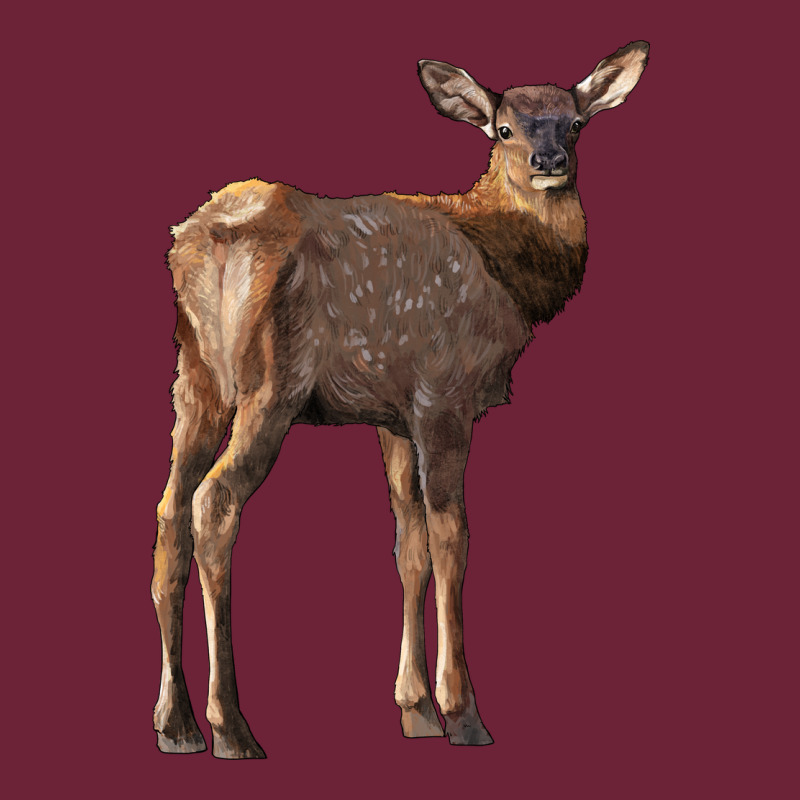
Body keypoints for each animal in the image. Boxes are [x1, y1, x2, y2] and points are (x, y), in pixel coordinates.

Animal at [152, 41, 649, 759]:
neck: (505, 269)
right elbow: (451, 537)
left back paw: (177, 724)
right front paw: (463, 714)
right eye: (503, 129)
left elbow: (407, 543)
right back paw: (232, 727)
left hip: (195, 375)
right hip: (270, 381)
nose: (549, 162)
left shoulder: (390, 412)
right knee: (214, 502)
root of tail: (210, 238)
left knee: (169, 510)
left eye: (576, 123)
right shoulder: (445, 393)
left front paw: (414, 710)